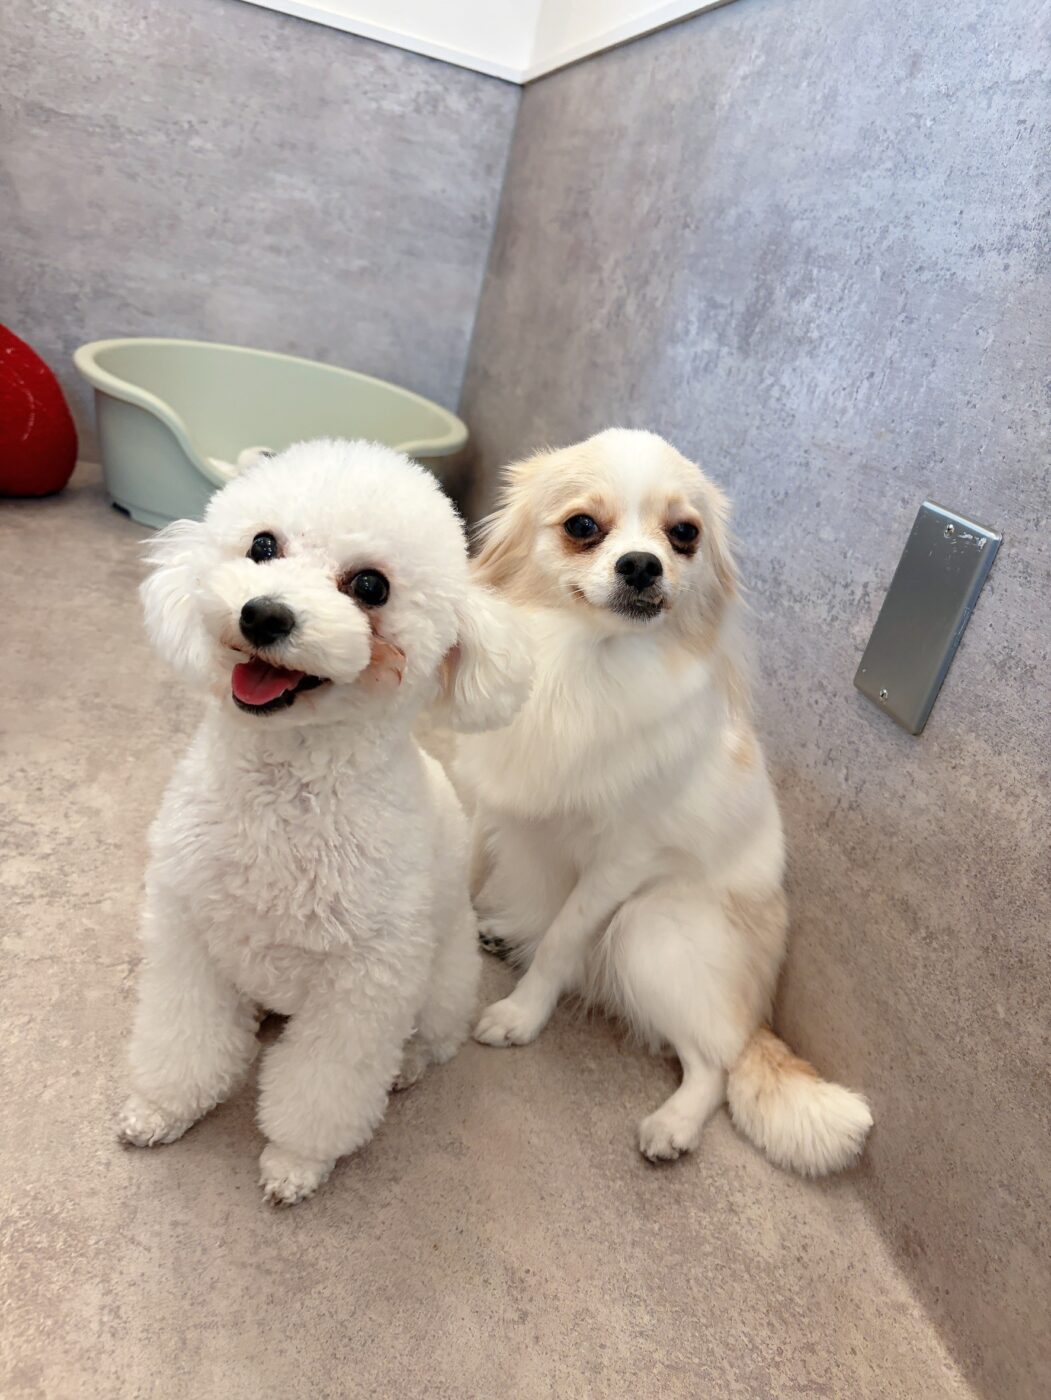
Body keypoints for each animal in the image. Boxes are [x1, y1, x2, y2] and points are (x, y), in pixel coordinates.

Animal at [118, 439, 531, 1204]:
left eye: (370, 586)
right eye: (262, 545)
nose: (263, 615)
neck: (286, 790)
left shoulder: (361, 988)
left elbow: (322, 1091)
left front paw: (294, 1163)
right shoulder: (188, 936)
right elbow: (182, 1039)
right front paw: (161, 1108)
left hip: (443, 981)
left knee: (433, 1038)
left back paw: (407, 1067)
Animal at [456, 428, 873, 1174]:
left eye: (684, 535)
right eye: (581, 527)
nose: (643, 565)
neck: (583, 664)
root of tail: (757, 1009)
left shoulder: (620, 863)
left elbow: (562, 940)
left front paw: (521, 1015)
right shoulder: (488, 802)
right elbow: (463, 871)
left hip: (646, 929)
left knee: (714, 1062)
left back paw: (674, 1124)